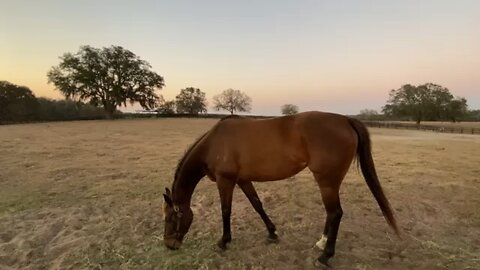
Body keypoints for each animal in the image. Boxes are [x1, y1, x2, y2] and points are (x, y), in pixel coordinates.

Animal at [163, 110, 400, 266]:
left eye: (170, 217)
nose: (169, 245)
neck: (215, 142)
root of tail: (345, 120)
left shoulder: (225, 180)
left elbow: (226, 210)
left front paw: (223, 241)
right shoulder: (243, 180)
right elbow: (257, 204)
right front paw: (272, 233)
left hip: (327, 181)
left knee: (335, 213)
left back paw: (325, 255)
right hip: (329, 183)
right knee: (331, 213)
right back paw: (321, 243)